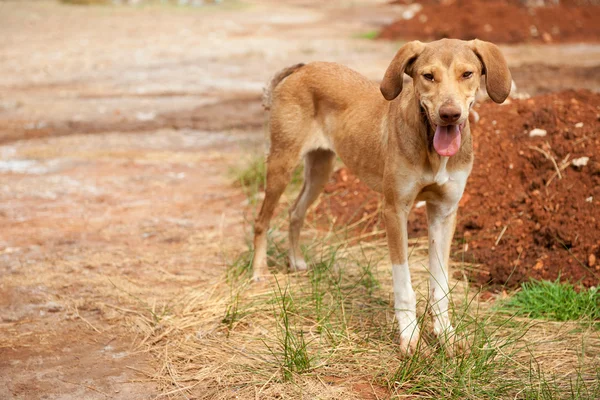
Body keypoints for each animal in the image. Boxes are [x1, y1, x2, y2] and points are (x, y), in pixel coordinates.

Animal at [251, 39, 508, 354]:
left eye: (467, 74)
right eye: (428, 76)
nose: (450, 114)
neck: (431, 149)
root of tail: (302, 69)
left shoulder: (444, 212)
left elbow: (441, 285)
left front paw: (446, 335)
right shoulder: (394, 210)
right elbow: (403, 283)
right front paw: (410, 337)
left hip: (321, 168)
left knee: (295, 212)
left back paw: (295, 260)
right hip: (282, 164)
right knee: (262, 220)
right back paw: (259, 271)